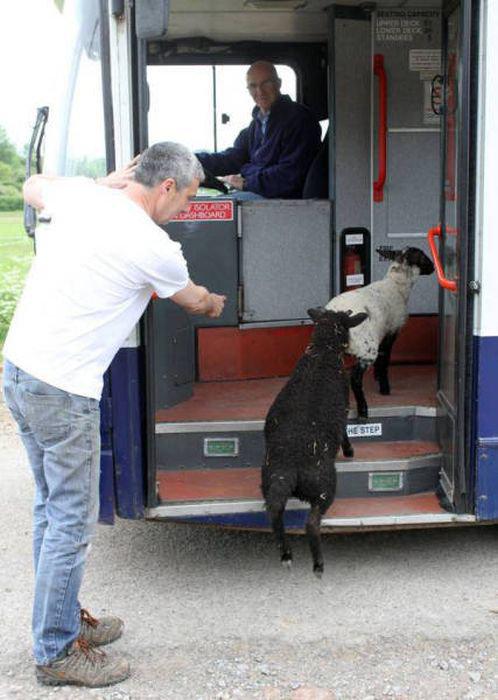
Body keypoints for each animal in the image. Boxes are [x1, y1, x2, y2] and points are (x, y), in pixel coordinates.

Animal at [262, 306, 368, 576]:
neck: (322, 351)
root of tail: (290, 468)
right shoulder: (344, 407)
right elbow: (344, 431)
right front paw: (349, 450)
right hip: (323, 486)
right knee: (311, 523)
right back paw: (318, 564)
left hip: (271, 483)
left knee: (275, 512)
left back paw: (286, 554)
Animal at [324, 249, 434, 418]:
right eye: (422, 256)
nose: (434, 267)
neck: (396, 285)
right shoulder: (392, 330)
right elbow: (385, 358)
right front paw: (384, 386)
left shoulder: (383, 330)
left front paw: (377, 376)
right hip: (366, 347)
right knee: (355, 378)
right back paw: (363, 409)